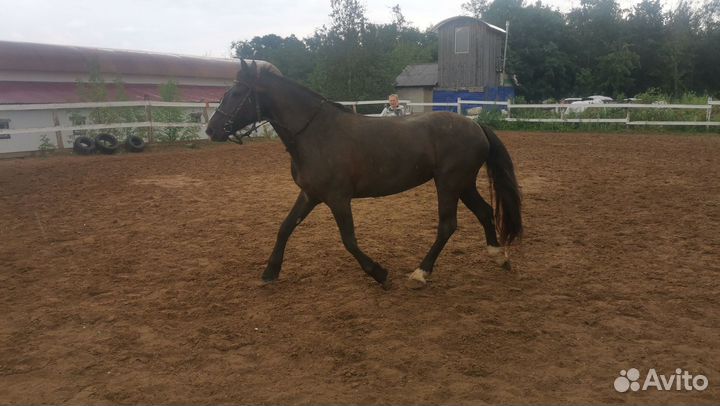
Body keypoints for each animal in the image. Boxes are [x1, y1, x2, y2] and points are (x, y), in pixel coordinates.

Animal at [206, 60, 522, 289]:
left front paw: (379, 273)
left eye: (237, 93)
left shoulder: (337, 198)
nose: (212, 129)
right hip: (463, 184)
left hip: (449, 183)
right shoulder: (310, 194)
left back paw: (420, 273)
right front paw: (270, 272)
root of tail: (476, 126)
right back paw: (499, 257)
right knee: (484, 212)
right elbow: (285, 227)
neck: (316, 133)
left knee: (448, 225)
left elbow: (349, 240)